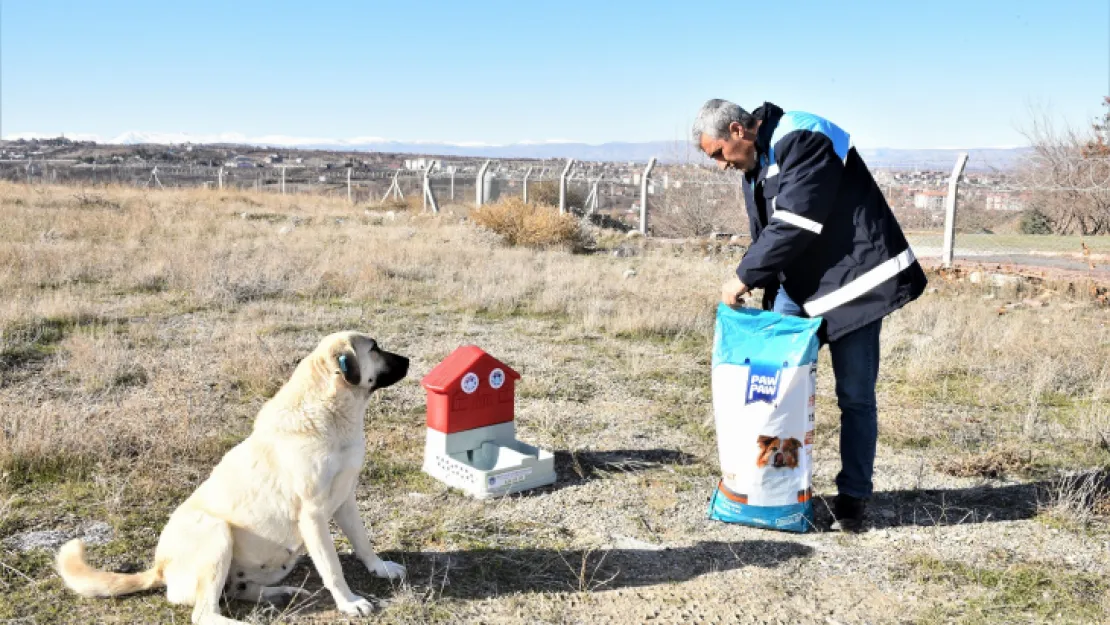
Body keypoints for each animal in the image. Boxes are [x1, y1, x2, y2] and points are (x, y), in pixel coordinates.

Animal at [57, 330, 412, 621]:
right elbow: (332, 567)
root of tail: (160, 567)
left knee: (238, 592)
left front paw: (380, 568)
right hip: (217, 533)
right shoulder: (312, 516)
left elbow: (363, 542)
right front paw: (349, 603)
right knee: (204, 614)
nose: (409, 360)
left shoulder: (345, 500)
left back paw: (281, 593)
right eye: (374, 348)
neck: (332, 414)